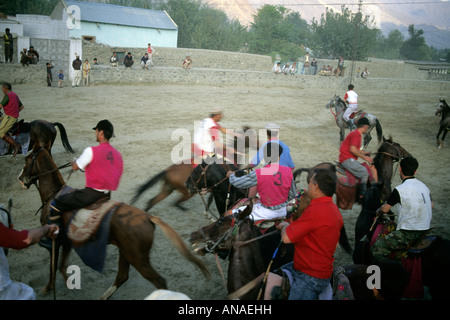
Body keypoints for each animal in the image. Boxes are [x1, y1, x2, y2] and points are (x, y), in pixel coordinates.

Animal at [15, 148, 209, 300]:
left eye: (27, 160)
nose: (21, 178)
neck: (54, 194)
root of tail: (147, 217)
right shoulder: (67, 241)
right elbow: (62, 265)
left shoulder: (55, 241)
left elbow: (53, 267)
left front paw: (47, 288)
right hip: (126, 253)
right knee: (122, 277)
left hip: (137, 258)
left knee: (158, 281)